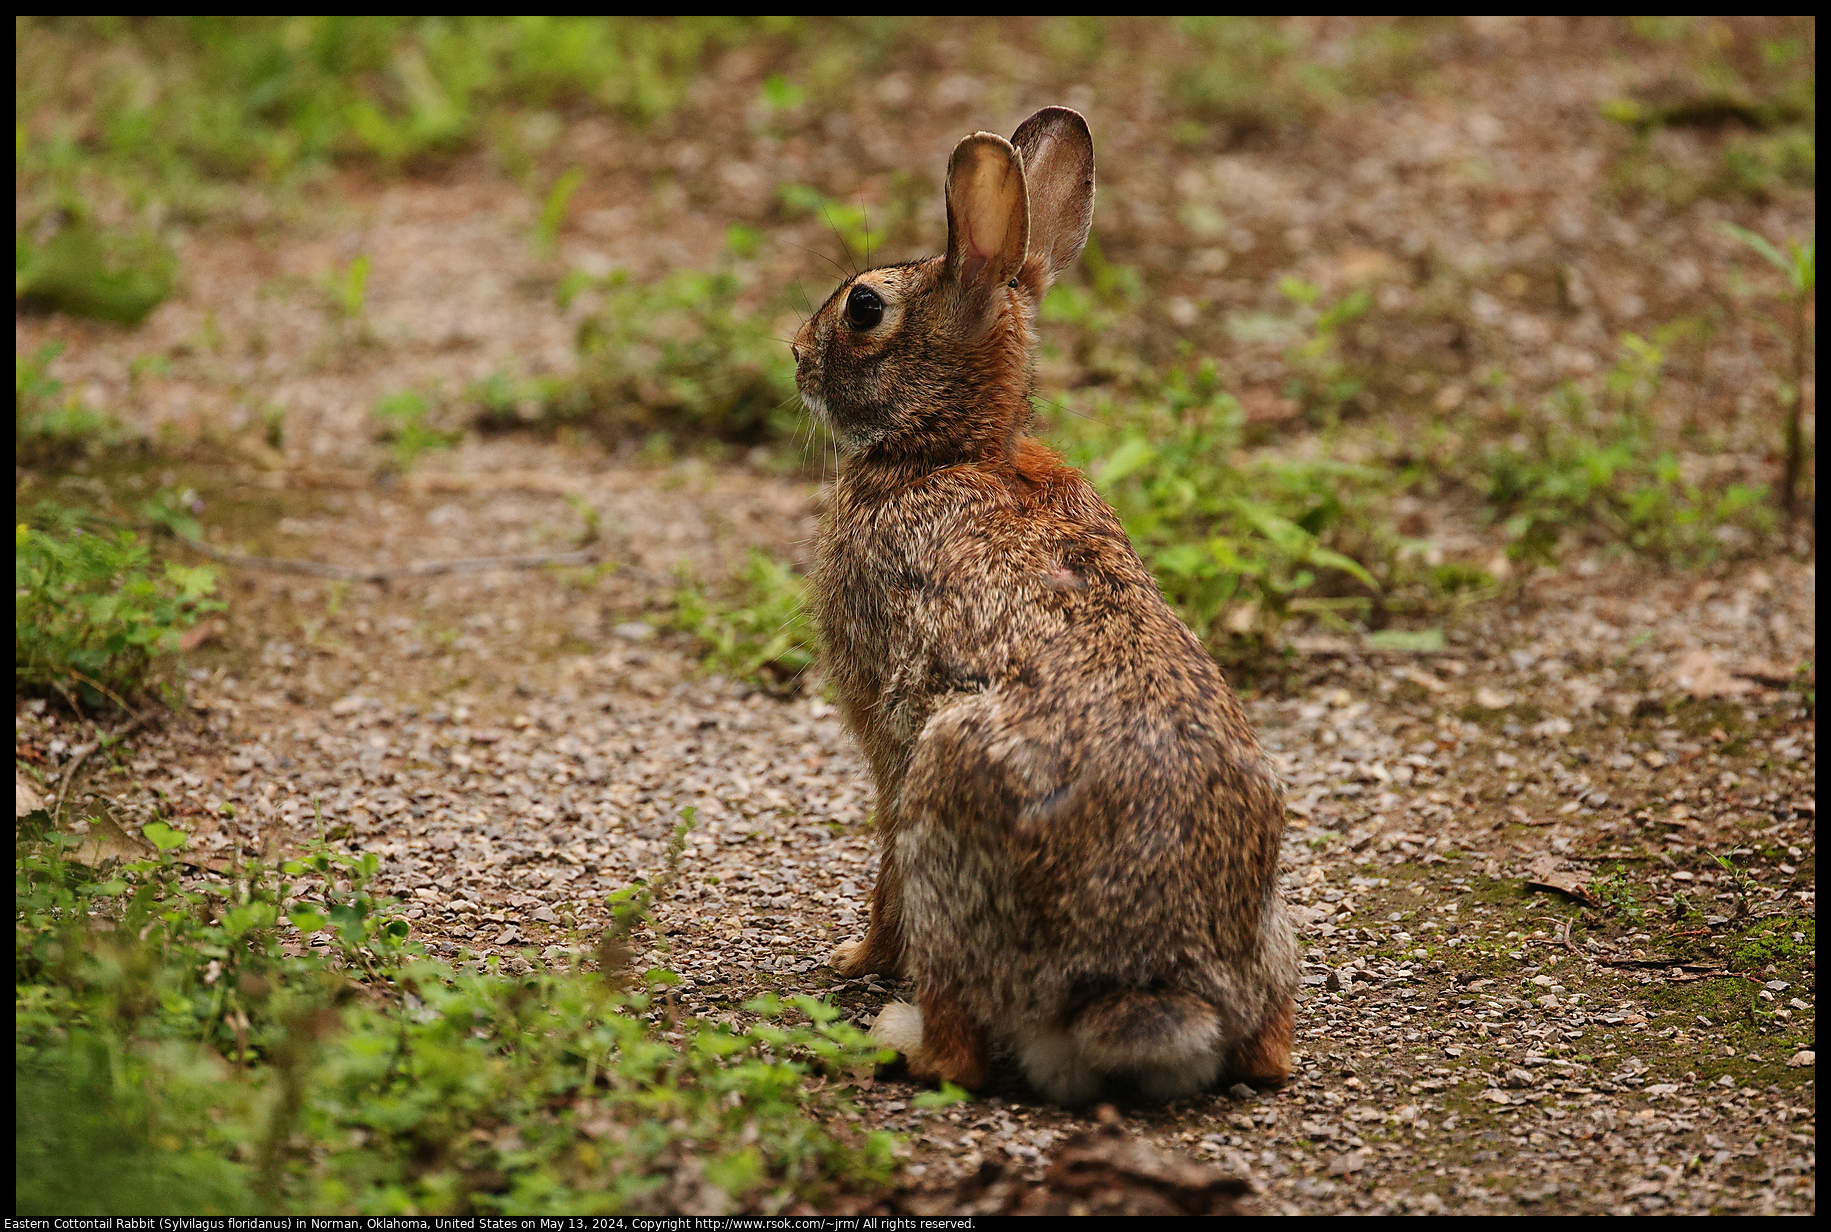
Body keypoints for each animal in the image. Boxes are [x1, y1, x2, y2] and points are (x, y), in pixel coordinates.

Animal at [794, 108, 1296, 1105]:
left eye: (863, 308)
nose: (792, 353)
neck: (947, 450)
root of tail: (1147, 991)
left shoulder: (884, 738)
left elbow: (882, 862)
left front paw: (853, 958)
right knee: (1272, 1054)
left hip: (946, 817)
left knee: (959, 1050)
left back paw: (892, 1035)